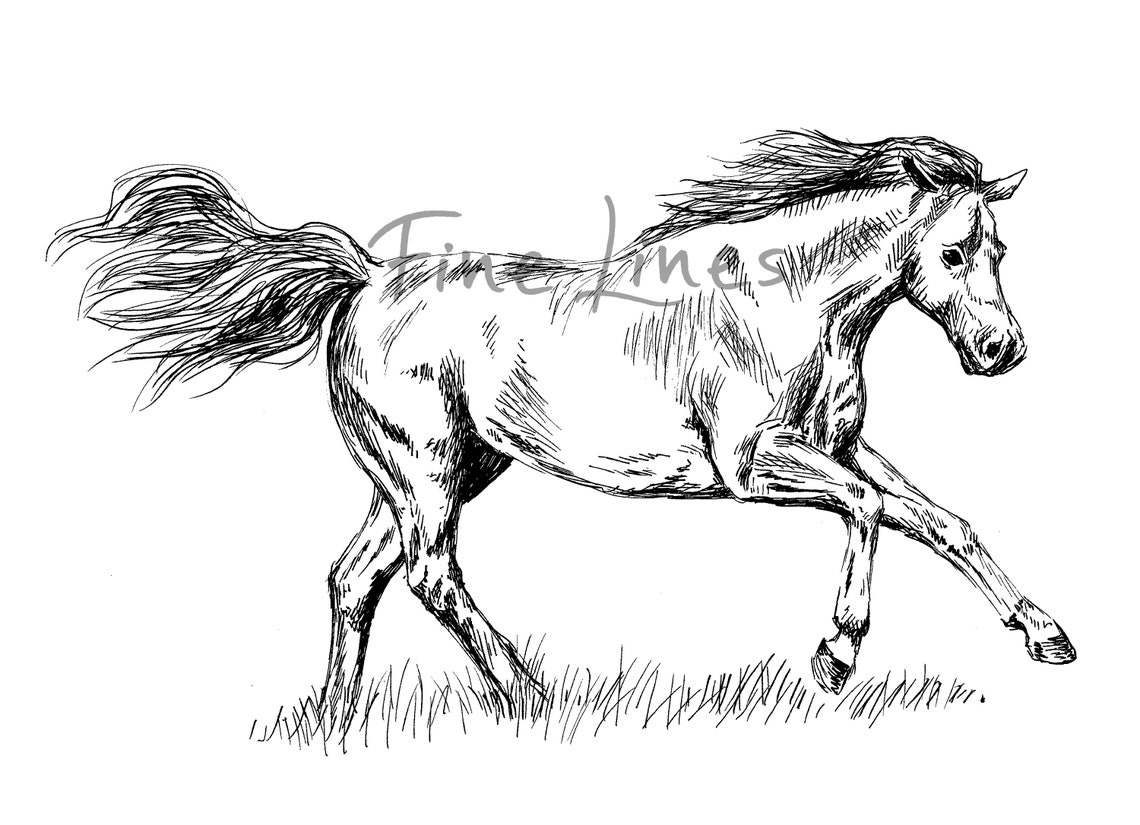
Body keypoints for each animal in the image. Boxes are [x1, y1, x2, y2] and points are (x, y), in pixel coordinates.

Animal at [52, 130, 1075, 723]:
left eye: (1001, 248)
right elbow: (867, 511)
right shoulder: (755, 465)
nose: (1002, 350)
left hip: (435, 475)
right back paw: (529, 696)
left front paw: (1046, 635)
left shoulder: (840, 446)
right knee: (428, 575)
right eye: (955, 251)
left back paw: (340, 722)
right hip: (428, 471)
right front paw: (835, 655)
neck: (788, 303)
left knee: (355, 576)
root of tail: (362, 279)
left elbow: (944, 522)